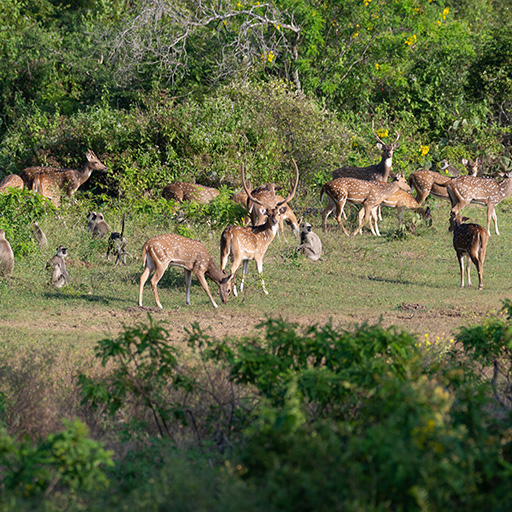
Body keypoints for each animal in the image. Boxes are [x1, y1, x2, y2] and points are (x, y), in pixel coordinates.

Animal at [218, 160, 298, 296]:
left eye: (278, 213)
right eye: (269, 214)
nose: (275, 221)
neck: (266, 238)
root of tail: (227, 233)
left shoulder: (246, 257)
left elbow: (244, 271)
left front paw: (242, 288)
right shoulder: (259, 254)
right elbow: (260, 272)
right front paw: (265, 291)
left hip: (223, 250)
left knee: (222, 267)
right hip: (237, 253)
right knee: (231, 269)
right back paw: (234, 293)